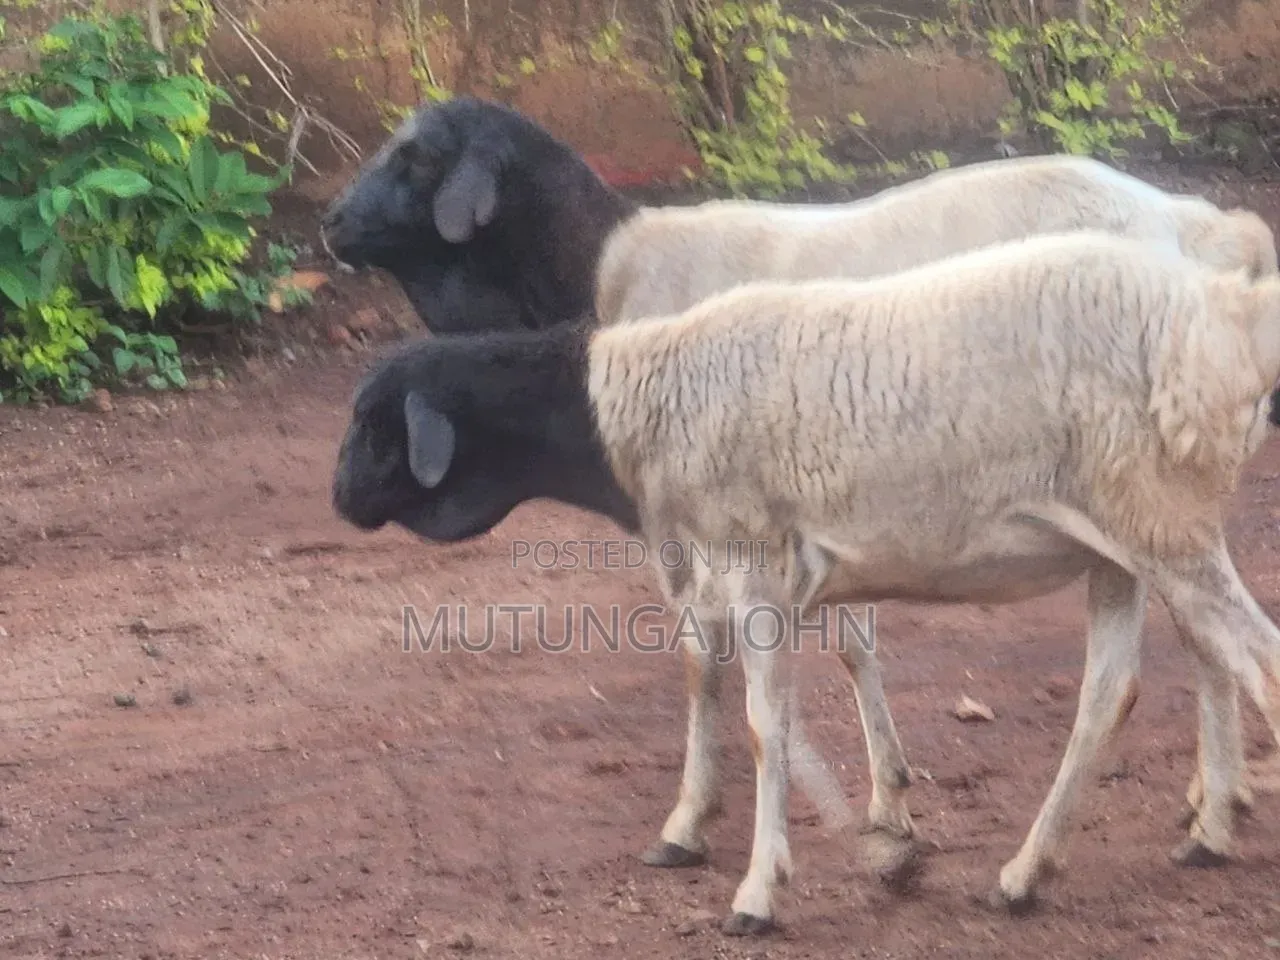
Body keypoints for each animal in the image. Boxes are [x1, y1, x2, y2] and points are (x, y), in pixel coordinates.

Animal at [331, 229, 1280, 935]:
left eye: (376, 425)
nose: (338, 499)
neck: (638, 404)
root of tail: (1224, 312)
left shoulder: (753, 564)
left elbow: (763, 723)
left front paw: (760, 890)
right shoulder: (748, 569)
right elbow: (717, 679)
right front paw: (698, 827)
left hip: (1161, 520)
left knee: (1253, 659)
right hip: (1124, 544)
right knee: (1113, 693)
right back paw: (1036, 870)